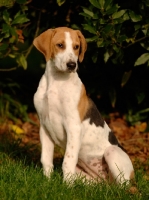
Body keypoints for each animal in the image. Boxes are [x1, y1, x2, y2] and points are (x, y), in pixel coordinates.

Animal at [33, 27, 134, 184]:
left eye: (76, 47)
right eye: (60, 45)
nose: (72, 65)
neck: (56, 81)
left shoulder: (73, 127)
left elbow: (67, 161)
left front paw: (67, 187)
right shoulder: (44, 126)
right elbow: (46, 159)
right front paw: (47, 182)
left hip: (112, 153)